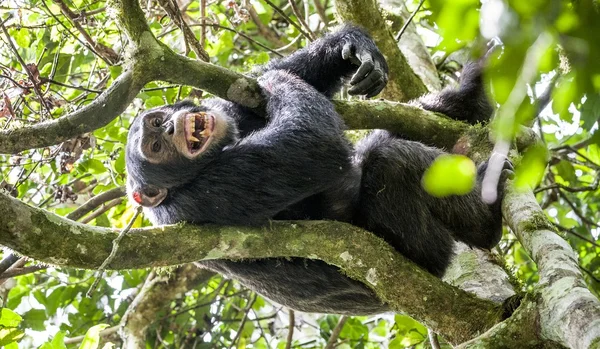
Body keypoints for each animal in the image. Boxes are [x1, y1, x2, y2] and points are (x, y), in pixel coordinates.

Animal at [125, 23, 506, 312]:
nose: (168, 128)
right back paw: (486, 219)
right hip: (424, 254)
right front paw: (277, 81)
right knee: (389, 161)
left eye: (156, 122)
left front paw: (353, 45)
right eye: (155, 148)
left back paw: (470, 96)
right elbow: (311, 145)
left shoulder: (231, 116)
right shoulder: (207, 194)